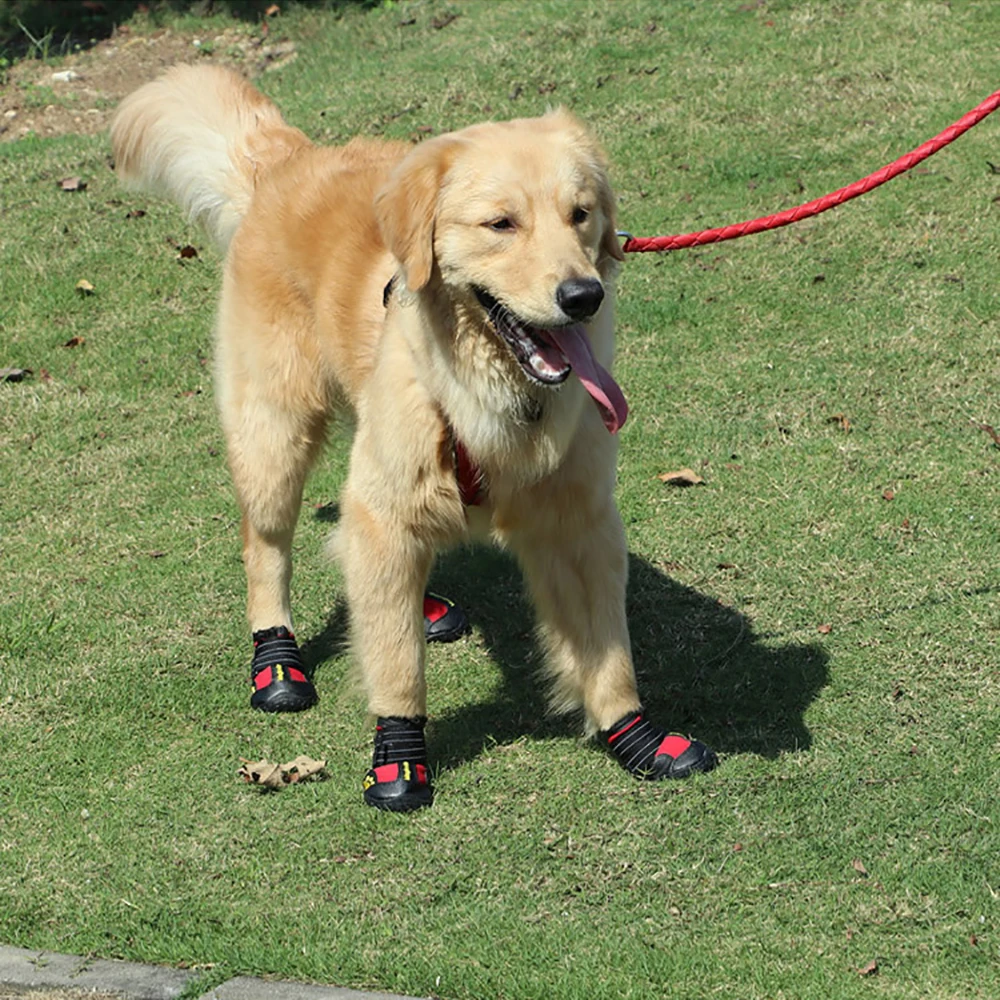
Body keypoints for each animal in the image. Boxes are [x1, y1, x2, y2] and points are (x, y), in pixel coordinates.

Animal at [111, 64, 720, 812]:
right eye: (501, 224)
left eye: (581, 214)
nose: (583, 296)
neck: (493, 398)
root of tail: (287, 159)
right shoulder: (386, 509)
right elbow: (398, 665)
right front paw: (399, 758)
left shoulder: (579, 518)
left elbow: (607, 649)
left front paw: (634, 734)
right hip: (274, 436)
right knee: (267, 547)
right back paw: (276, 659)